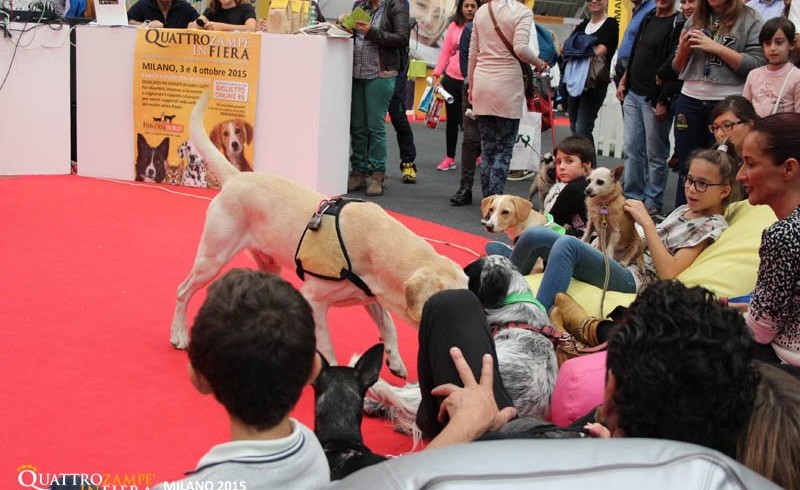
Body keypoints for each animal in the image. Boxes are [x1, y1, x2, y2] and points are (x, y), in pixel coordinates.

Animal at [170, 94, 468, 378]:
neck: (380, 250)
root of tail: (235, 177)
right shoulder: (314, 299)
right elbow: (329, 350)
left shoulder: (370, 296)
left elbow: (388, 323)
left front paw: (394, 359)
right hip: (213, 257)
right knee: (183, 291)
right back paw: (179, 334)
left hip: (269, 264)